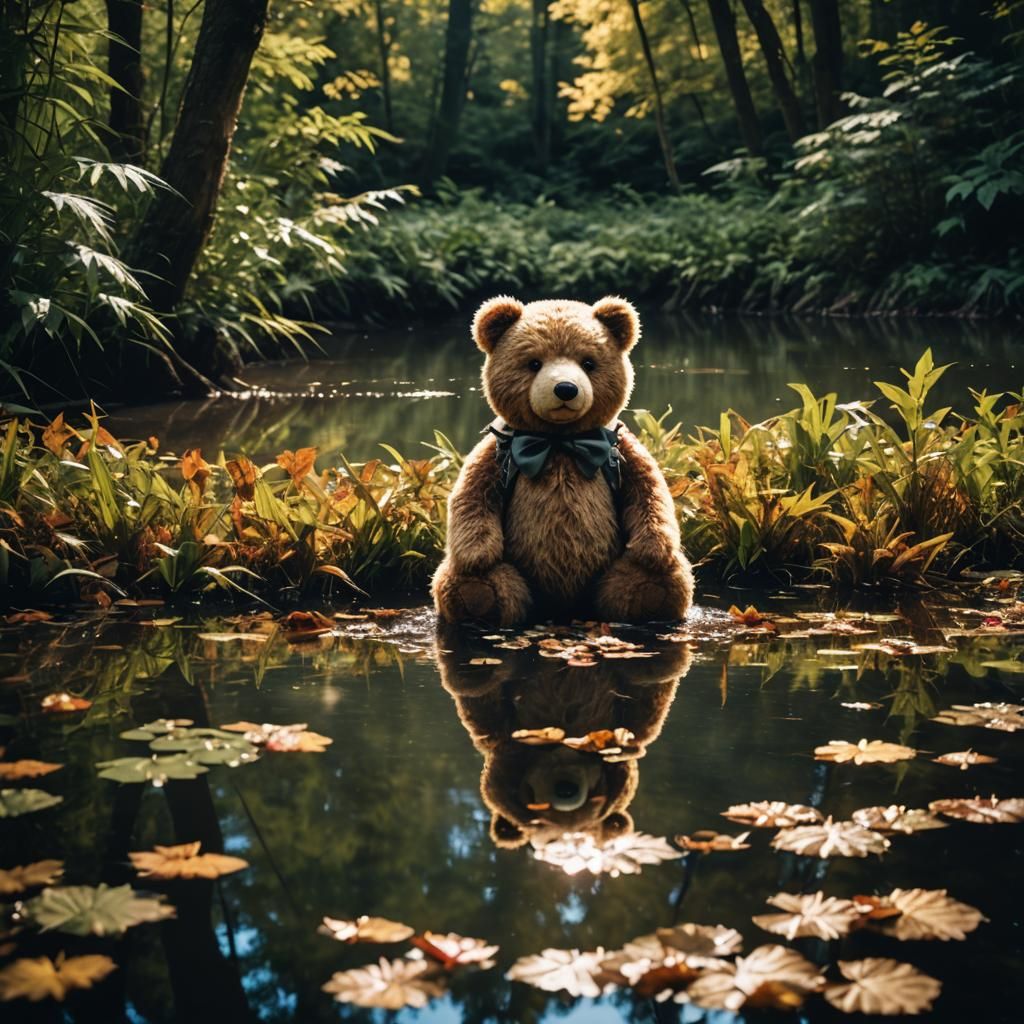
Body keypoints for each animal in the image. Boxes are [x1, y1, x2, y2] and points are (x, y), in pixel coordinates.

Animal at [432, 295, 693, 627]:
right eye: (534, 363)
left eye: (588, 363)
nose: (566, 388)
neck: (558, 443)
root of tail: (563, 610)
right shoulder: (495, 453)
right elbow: (471, 495)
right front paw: (477, 555)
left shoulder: (622, 448)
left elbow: (649, 491)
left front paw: (653, 550)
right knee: (473, 579)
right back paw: (477, 595)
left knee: (653, 577)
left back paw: (651, 593)